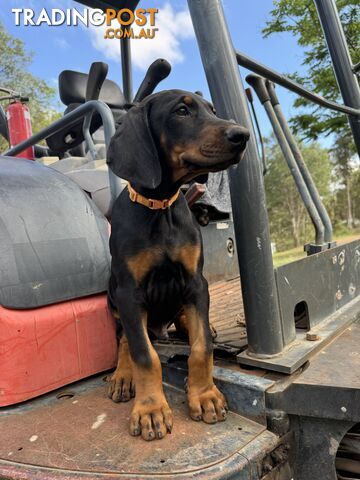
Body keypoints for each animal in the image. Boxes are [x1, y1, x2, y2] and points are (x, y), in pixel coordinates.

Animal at [105, 88, 249, 440]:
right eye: (181, 111)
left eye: (213, 110)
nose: (243, 135)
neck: (160, 209)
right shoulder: (129, 293)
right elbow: (144, 354)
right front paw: (151, 410)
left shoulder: (196, 283)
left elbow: (202, 347)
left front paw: (205, 396)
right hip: (113, 298)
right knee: (125, 339)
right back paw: (122, 376)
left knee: (189, 324)